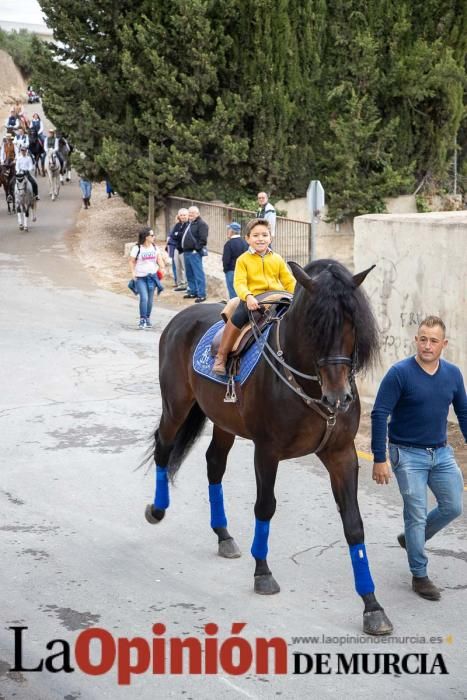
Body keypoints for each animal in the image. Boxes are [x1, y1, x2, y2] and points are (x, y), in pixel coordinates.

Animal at [146, 260, 394, 636]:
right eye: (315, 327)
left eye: (352, 323)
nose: (339, 397)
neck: (308, 384)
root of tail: (181, 318)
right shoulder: (267, 451)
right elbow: (265, 507)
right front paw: (262, 573)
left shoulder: (341, 455)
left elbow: (353, 524)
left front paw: (372, 606)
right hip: (176, 406)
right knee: (163, 448)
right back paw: (157, 510)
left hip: (223, 421)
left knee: (214, 464)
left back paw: (223, 535)